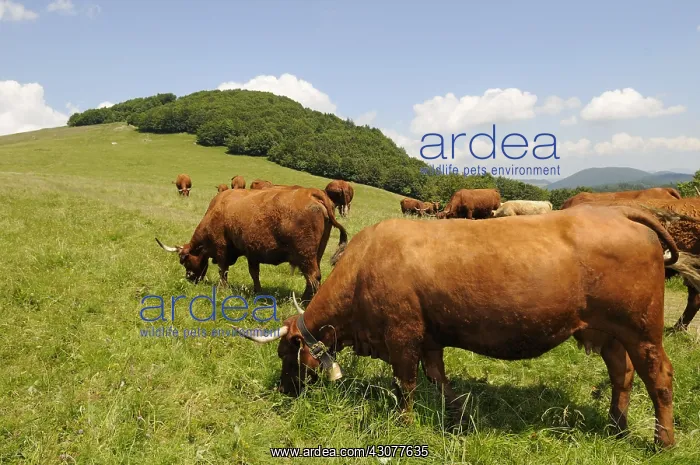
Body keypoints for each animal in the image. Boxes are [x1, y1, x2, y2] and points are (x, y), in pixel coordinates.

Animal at [156, 187, 348, 300]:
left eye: (184, 260)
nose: (190, 278)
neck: (217, 209)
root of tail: (312, 192)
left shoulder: (221, 247)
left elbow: (223, 270)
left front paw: (223, 289)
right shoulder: (252, 252)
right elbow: (254, 273)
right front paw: (258, 291)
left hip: (305, 254)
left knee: (313, 276)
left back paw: (306, 303)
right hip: (315, 254)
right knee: (312, 277)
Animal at [235, 205, 679, 448]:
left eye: (286, 354)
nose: (284, 390)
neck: (365, 266)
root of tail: (616, 212)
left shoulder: (402, 336)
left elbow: (406, 383)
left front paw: (405, 424)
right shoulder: (429, 337)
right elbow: (438, 378)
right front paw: (456, 413)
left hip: (642, 332)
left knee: (658, 378)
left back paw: (662, 441)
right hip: (611, 335)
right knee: (622, 376)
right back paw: (617, 426)